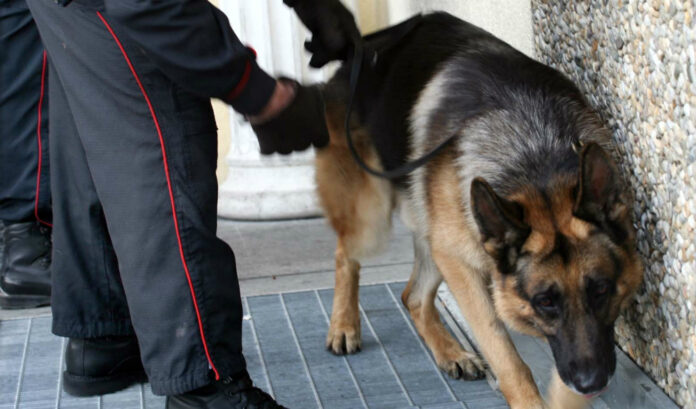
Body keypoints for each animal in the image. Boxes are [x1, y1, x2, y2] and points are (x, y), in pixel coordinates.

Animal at [314, 11, 640, 408]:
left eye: (602, 289)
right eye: (545, 301)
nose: (592, 382)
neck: (535, 159)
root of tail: (360, 50)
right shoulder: (462, 265)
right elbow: (506, 356)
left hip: (432, 230)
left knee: (413, 297)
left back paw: (450, 352)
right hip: (375, 216)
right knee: (346, 255)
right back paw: (344, 326)